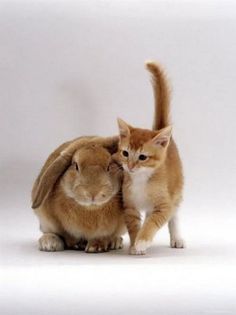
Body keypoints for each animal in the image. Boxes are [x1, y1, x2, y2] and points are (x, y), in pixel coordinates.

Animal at [117, 62, 185, 256]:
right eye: (125, 153)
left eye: (142, 157)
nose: (130, 166)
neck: (141, 179)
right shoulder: (129, 206)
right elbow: (134, 226)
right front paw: (135, 243)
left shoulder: (164, 206)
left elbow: (153, 222)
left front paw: (142, 241)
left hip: (176, 190)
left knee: (174, 214)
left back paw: (176, 238)